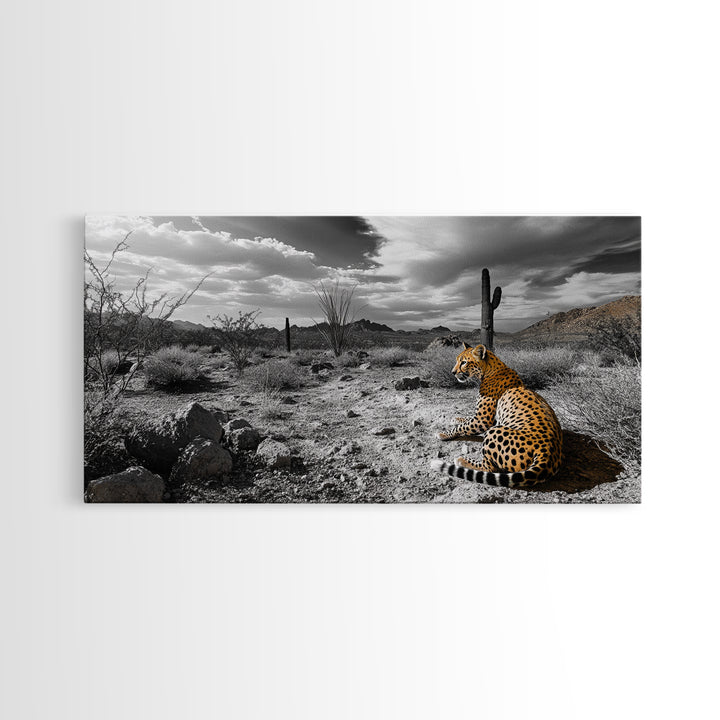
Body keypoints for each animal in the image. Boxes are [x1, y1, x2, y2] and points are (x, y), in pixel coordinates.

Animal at [429, 342, 562, 488]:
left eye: (464, 362)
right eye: (457, 360)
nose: (453, 372)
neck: (490, 369)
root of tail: (549, 452)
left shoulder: (483, 420)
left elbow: (462, 427)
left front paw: (444, 433)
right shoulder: (486, 418)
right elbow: (466, 420)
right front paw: (456, 419)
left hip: (494, 431)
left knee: (489, 468)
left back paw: (462, 460)